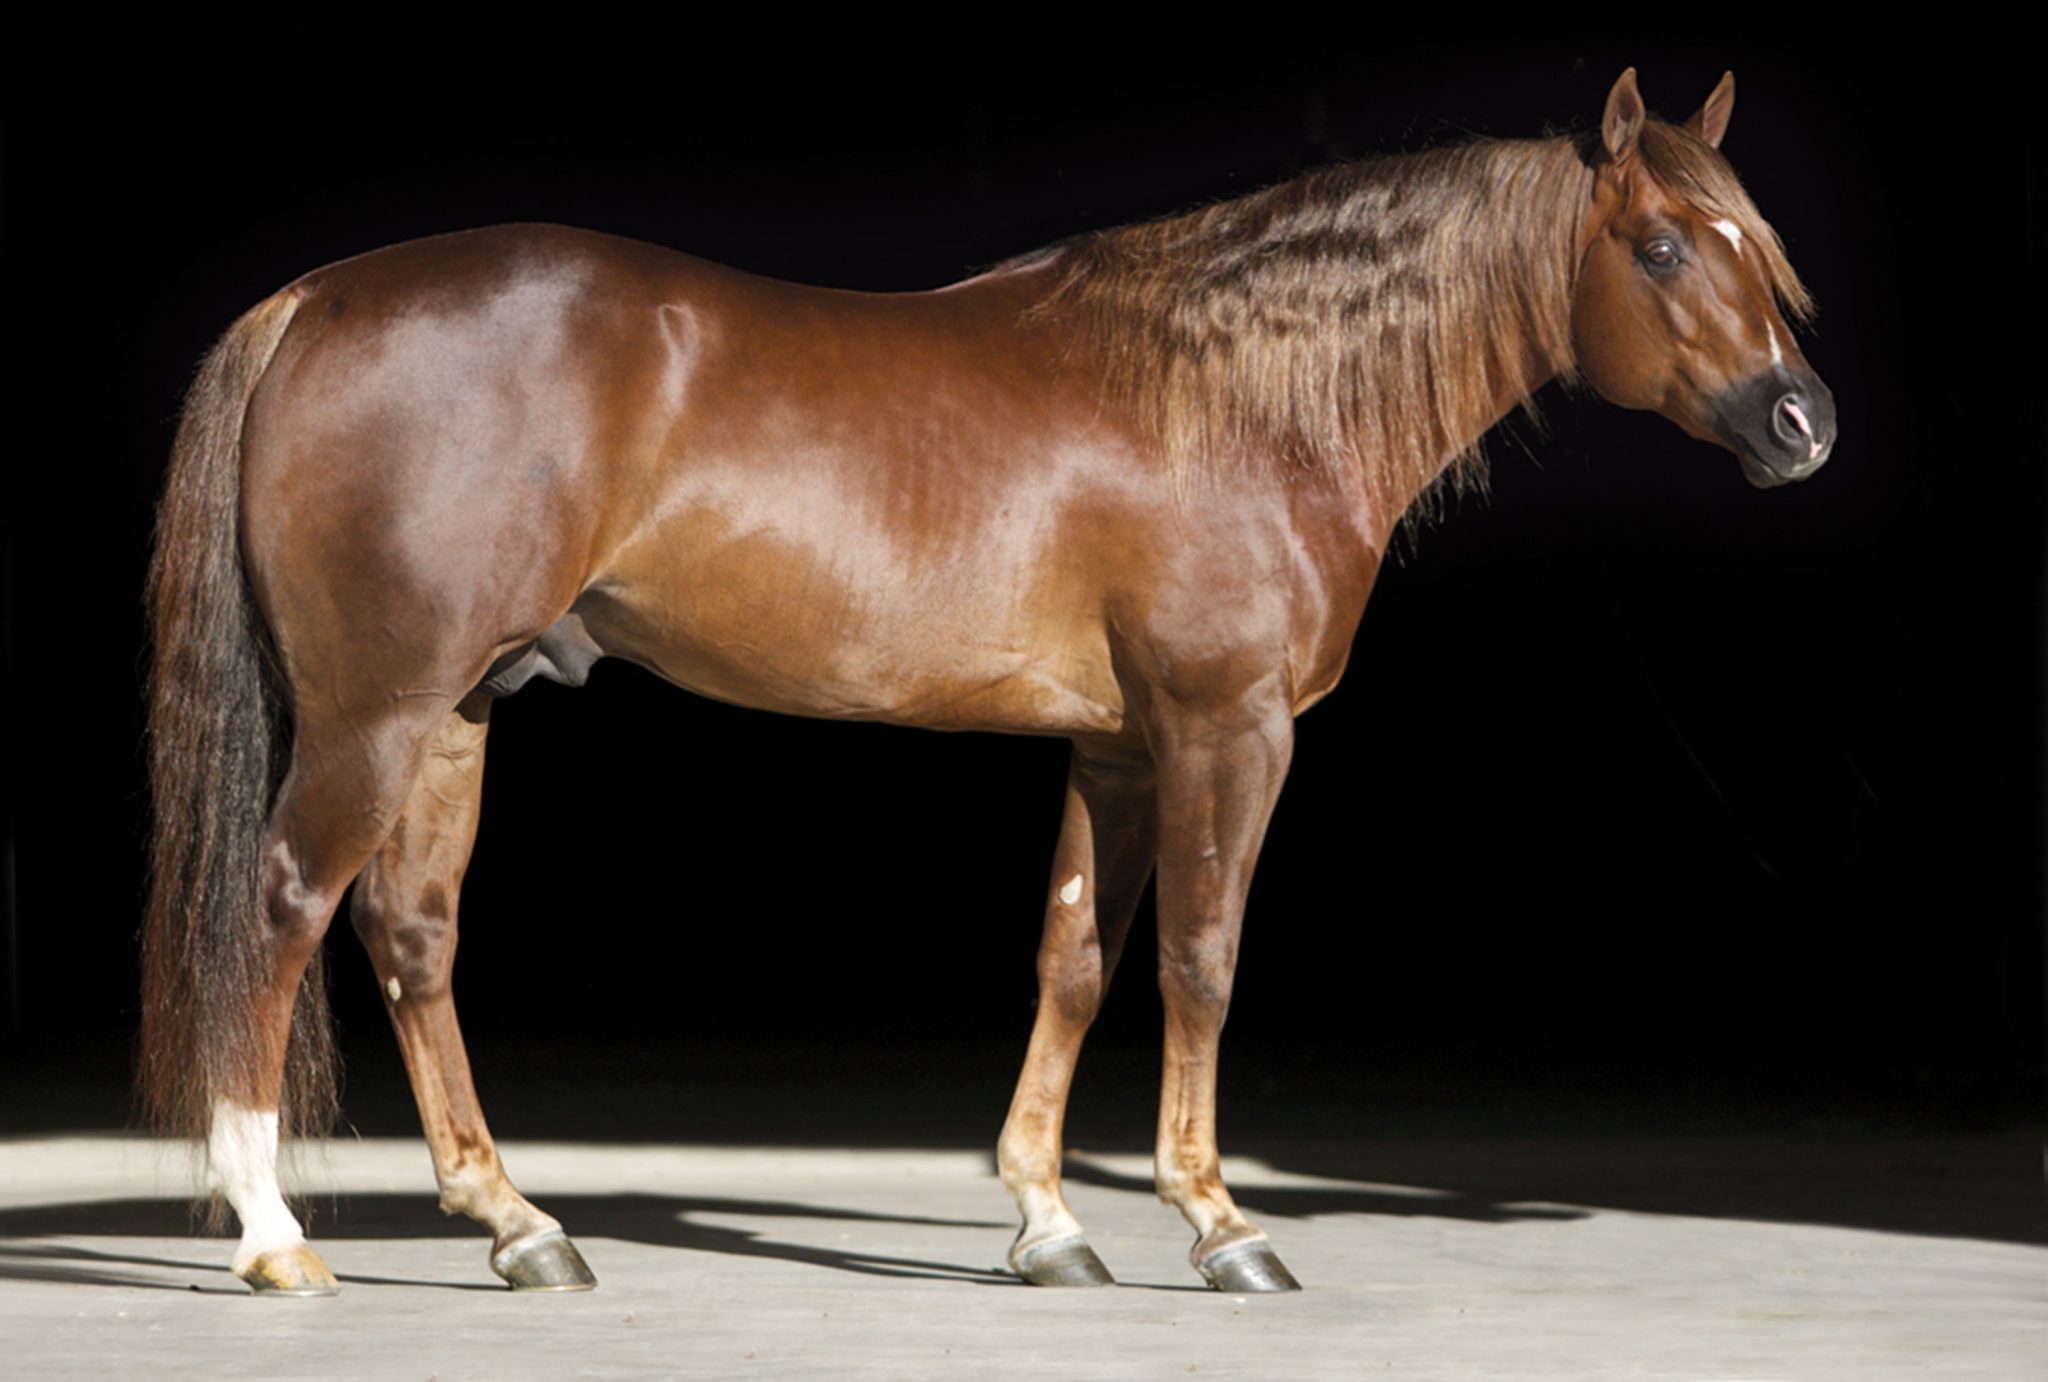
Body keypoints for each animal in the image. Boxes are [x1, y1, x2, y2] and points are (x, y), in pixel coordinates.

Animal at [138, 68, 1835, 1297]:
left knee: (412, 938)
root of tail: (314, 301)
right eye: (1663, 246)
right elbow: (1201, 962)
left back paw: (519, 1223)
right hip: (375, 716)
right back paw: (274, 1232)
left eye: (1757, 248)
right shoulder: (1229, 733)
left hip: (457, 711)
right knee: (285, 910)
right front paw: (1223, 1223)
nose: (1803, 423)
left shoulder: (1122, 749)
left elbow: (1074, 959)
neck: (1236, 401)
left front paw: (1046, 1221)